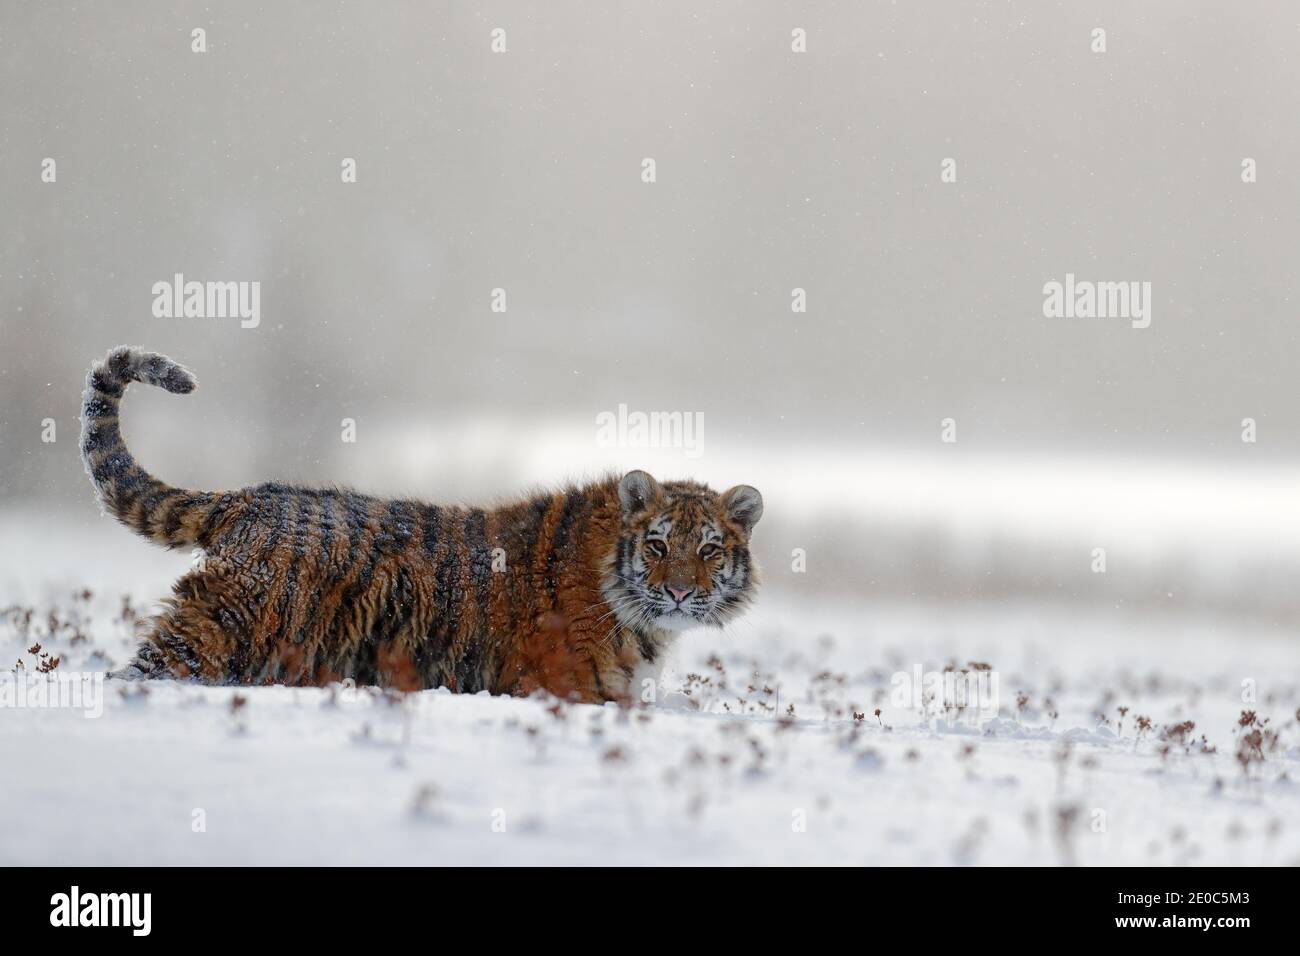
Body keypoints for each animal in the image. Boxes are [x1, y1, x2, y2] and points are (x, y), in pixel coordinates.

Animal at [80, 346, 763, 704]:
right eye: (658, 545)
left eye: (708, 550)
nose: (679, 591)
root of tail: (249, 498)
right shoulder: (559, 688)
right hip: (216, 631)